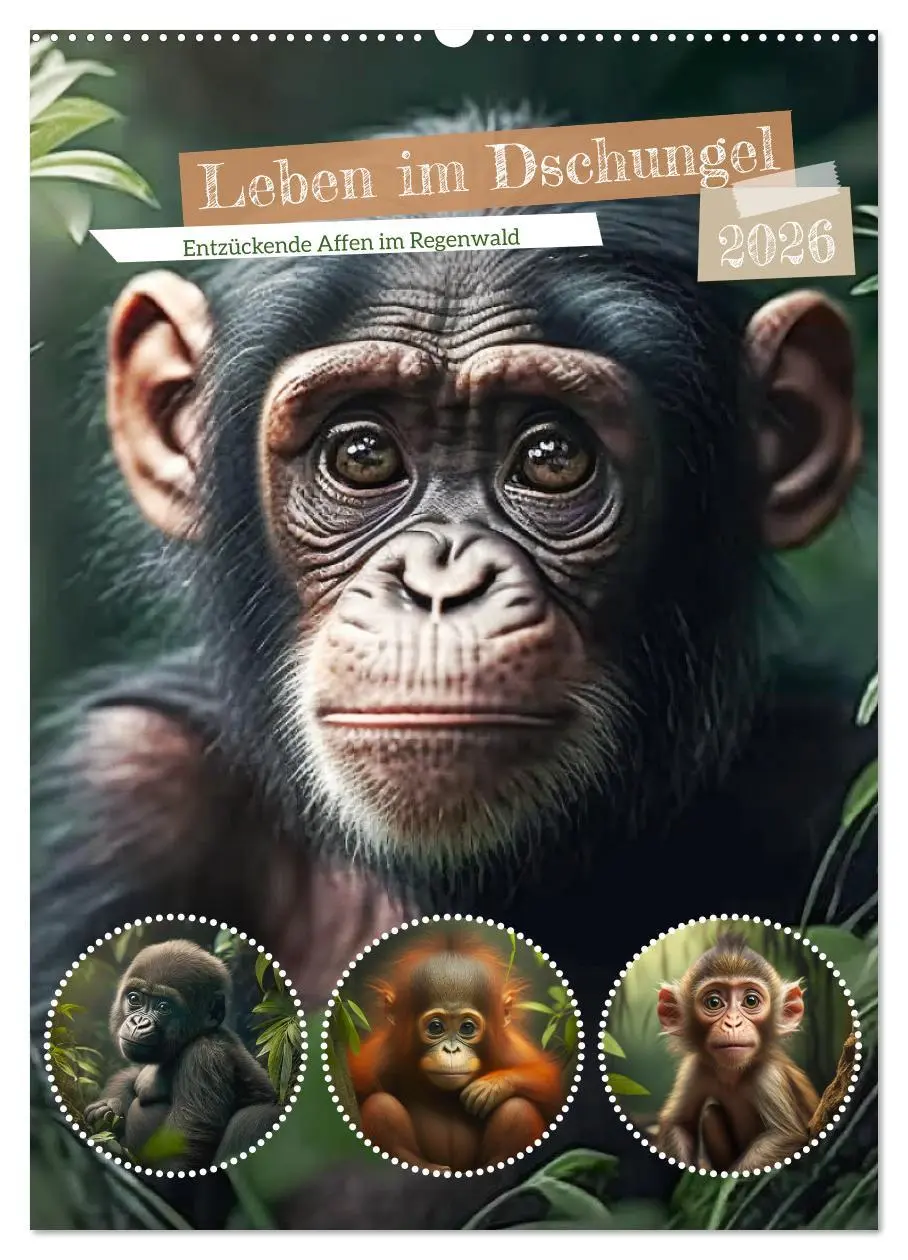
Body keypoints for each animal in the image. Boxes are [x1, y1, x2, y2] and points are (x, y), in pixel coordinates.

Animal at [655, 932, 821, 1172]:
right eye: (714, 1002)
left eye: (751, 1001)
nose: (733, 1022)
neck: (733, 1075)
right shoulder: (695, 1068)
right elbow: (680, 1124)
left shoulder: (769, 1075)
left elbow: (785, 1135)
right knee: (710, 1113)